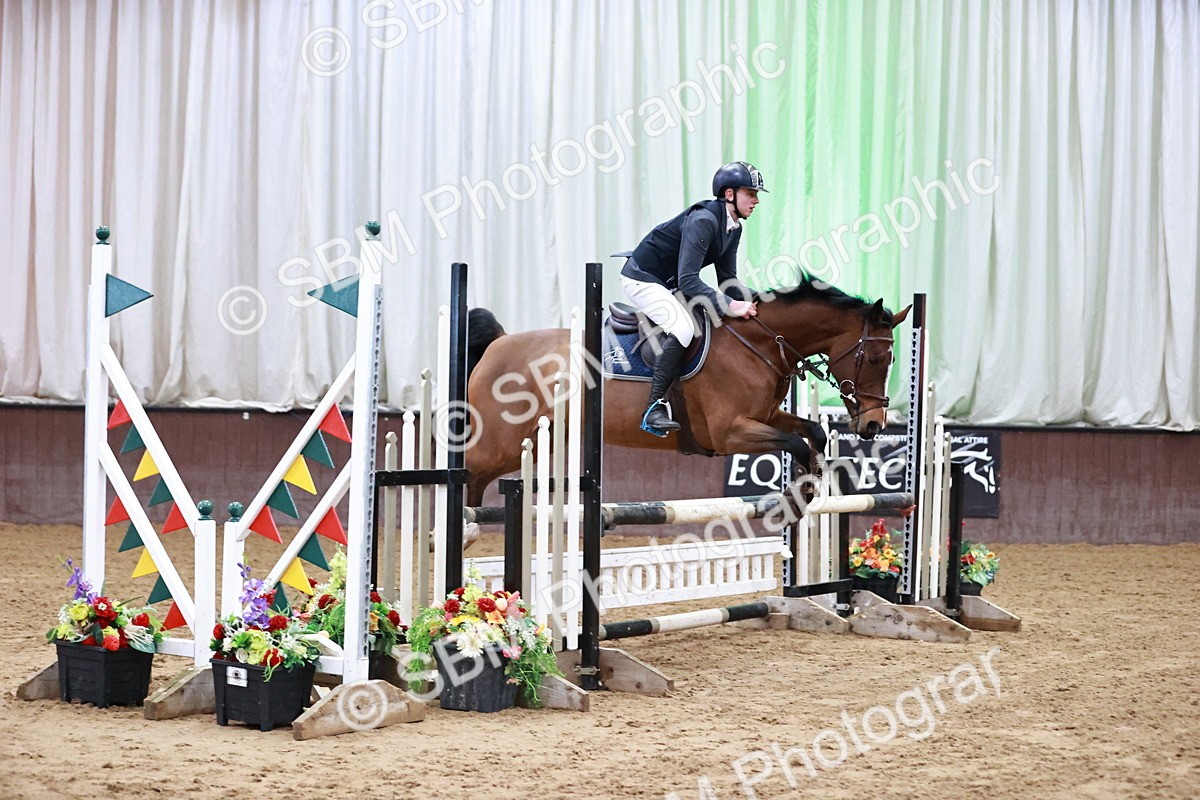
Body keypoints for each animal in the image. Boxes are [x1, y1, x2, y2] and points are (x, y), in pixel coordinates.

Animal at [463, 277, 910, 507]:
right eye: (875, 359)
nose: (873, 425)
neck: (760, 343)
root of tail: (498, 345)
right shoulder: (729, 433)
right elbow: (794, 442)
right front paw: (805, 483)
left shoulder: (765, 416)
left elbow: (812, 432)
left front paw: (812, 480)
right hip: (500, 443)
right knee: (464, 472)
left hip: (534, 444)